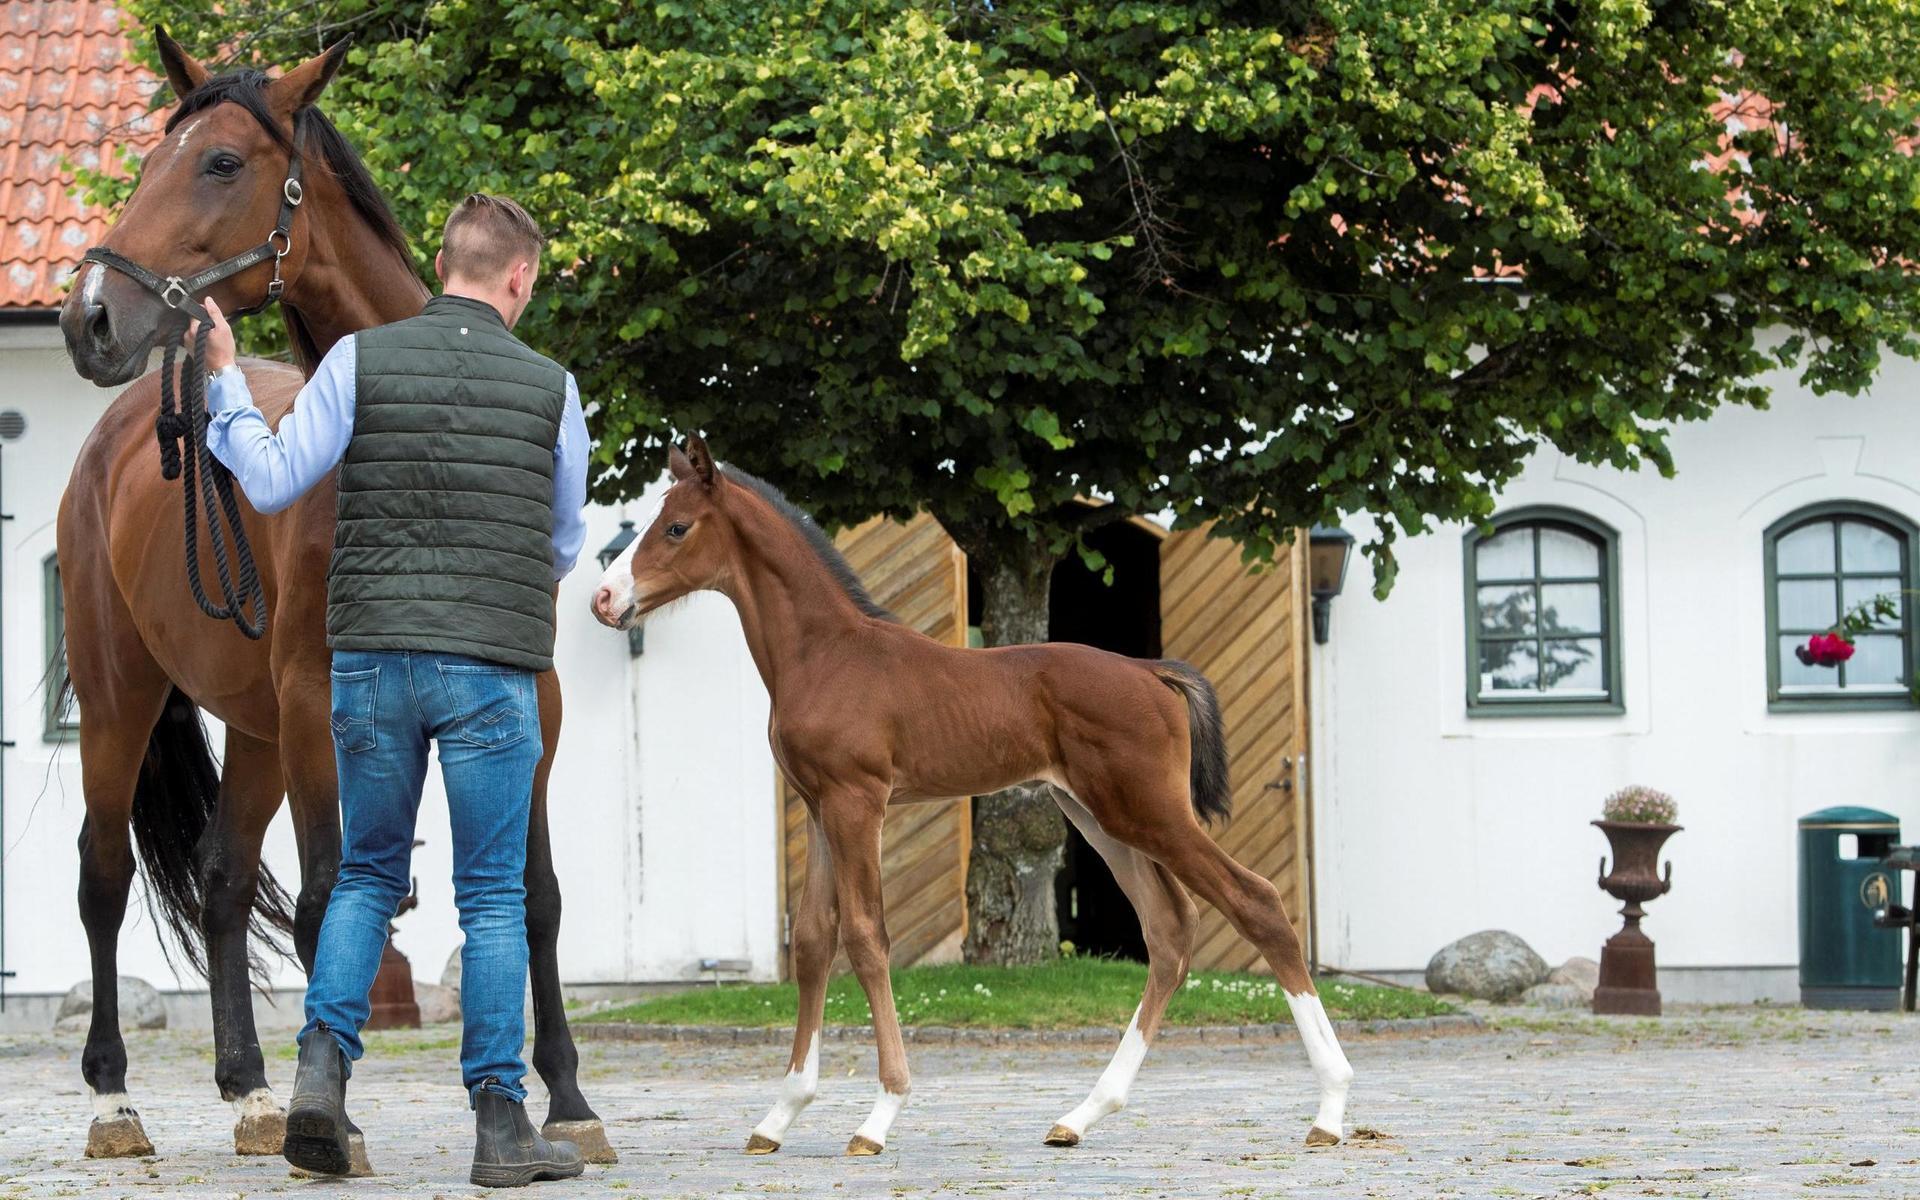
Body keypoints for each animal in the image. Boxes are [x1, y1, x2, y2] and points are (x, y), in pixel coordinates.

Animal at [583, 437, 1351, 1152]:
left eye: (676, 527)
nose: (603, 599)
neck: (826, 653)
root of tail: (1152, 673)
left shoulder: (858, 802)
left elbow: (866, 938)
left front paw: (879, 1116)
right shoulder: (819, 806)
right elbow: (813, 942)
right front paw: (779, 1114)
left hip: (1147, 811)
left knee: (1256, 901)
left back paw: (1331, 1107)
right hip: (1100, 816)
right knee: (1169, 930)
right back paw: (1083, 1114)